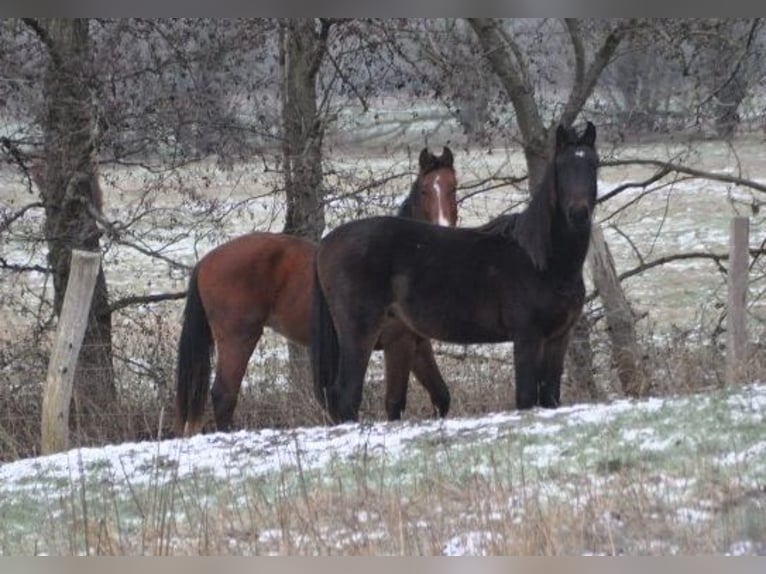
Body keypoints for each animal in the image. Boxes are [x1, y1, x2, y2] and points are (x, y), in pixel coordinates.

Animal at [177, 146, 460, 434]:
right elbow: (394, 404)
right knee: (224, 395)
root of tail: (205, 262)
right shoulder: (398, 342)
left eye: (453, 188)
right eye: (424, 190)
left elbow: (441, 396)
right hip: (238, 339)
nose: (443, 229)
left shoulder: (418, 344)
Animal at [312, 124, 600, 426]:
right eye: (561, 166)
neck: (540, 259)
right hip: (359, 333)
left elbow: (550, 398)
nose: (578, 213)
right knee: (346, 395)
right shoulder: (526, 337)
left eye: (594, 164)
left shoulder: (558, 339)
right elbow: (525, 399)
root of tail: (327, 242)